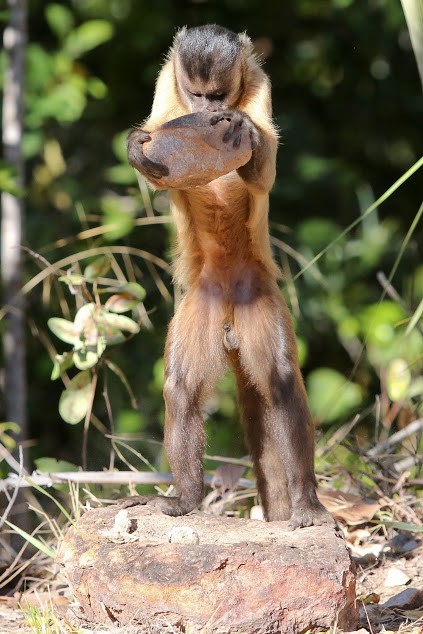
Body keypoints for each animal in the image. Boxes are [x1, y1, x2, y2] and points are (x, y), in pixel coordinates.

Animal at [124, 24, 332, 524]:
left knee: (279, 381)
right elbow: (156, 158)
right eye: (197, 96)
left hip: (259, 295)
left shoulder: (259, 81)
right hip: (202, 301)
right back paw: (185, 497)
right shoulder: (167, 83)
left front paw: (245, 130)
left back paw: (306, 499)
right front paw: (137, 150)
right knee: (181, 390)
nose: (210, 113)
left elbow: (264, 171)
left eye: (218, 96)